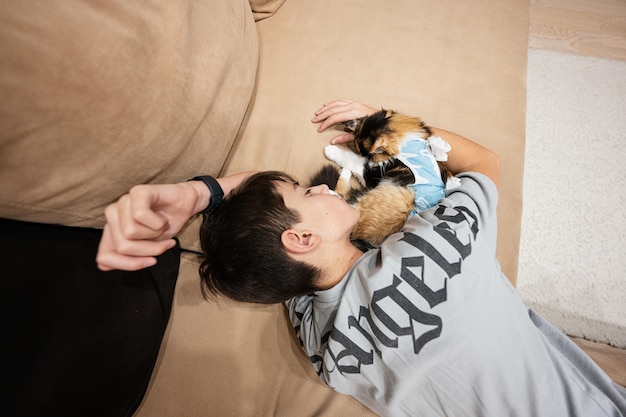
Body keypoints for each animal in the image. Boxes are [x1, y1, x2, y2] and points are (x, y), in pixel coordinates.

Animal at [310, 109, 456, 249]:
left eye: (370, 156)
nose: (368, 159)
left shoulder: (373, 174)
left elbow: (353, 160)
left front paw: (330, 150)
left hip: (398, 197)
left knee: (341, 195)